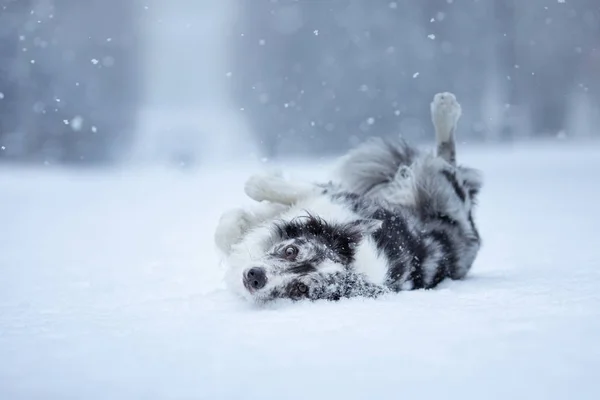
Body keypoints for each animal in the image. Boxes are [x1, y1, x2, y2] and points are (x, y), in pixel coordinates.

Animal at [216, 93, 482, 304]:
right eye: (291, 251)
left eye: (300, 289)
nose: (254, 277)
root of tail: (472, 233)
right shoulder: (334, 197)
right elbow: (253, 191)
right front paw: (244, 215)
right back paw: (444, 106)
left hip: (443, 191)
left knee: (448, 165)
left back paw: (446, 109)